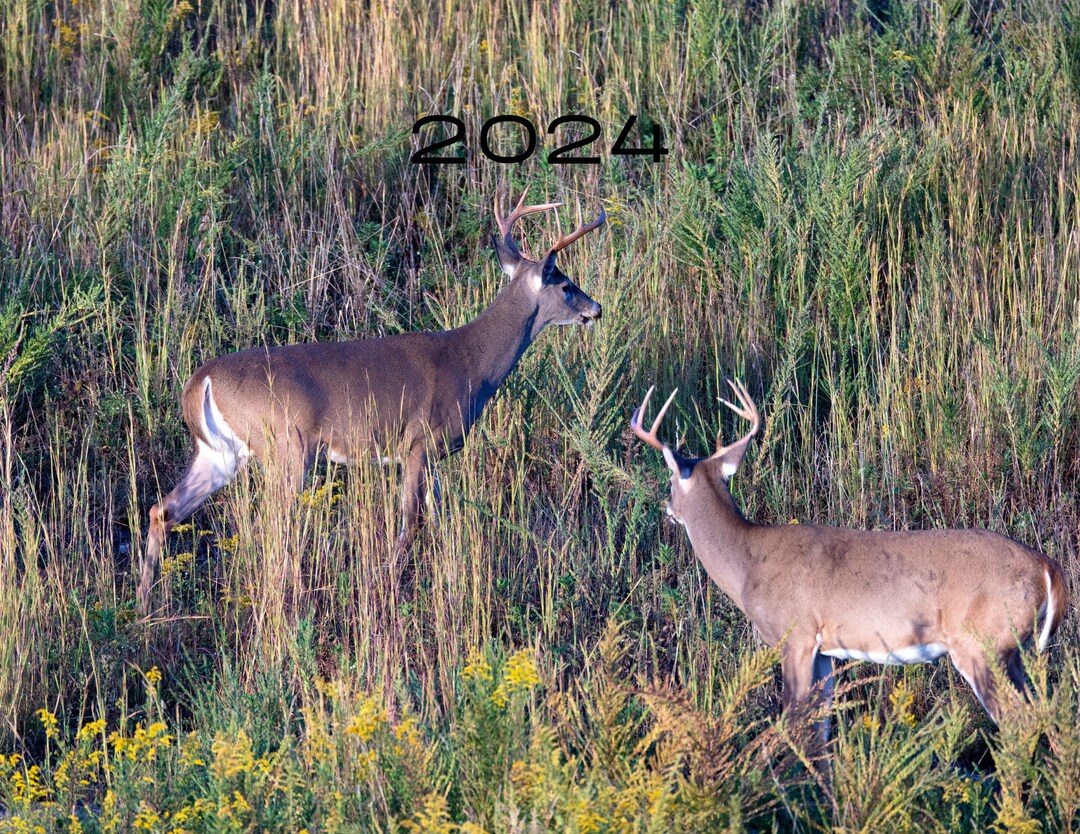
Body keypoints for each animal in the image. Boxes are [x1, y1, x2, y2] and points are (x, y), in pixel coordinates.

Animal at [139, 190, 606, 614]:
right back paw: (293, 598)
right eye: (566, 285)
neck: (472, 363)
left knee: (163, 509)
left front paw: (448, 580)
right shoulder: (417, 441)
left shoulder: (435, 454)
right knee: (274, 525)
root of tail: (200, 381)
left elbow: (439, 519)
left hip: (220, 453)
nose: (597, 309)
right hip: (287, 446)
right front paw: (385, 585)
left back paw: (144, 603)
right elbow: (411, 524)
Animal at [630, 378, 1068, 734]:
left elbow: (795, 725)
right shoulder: (824, 652)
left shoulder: (796, 635)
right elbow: (819, 730)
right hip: (1012, 653)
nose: (667, 508)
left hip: (983, 644)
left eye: (670, 481)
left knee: (1019, 722)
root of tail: (1047, 567)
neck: (747, 563)